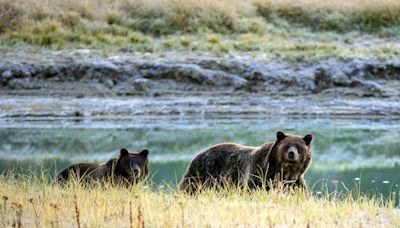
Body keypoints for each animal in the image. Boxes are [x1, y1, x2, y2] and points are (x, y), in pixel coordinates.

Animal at [180, 131, 314, 193]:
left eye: (299, 147)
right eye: (287, 146)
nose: (291, 154)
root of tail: (199, 153)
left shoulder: (295, 182)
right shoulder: (260, 173)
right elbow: (254, 188)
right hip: (203, 173)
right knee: (189, 187)